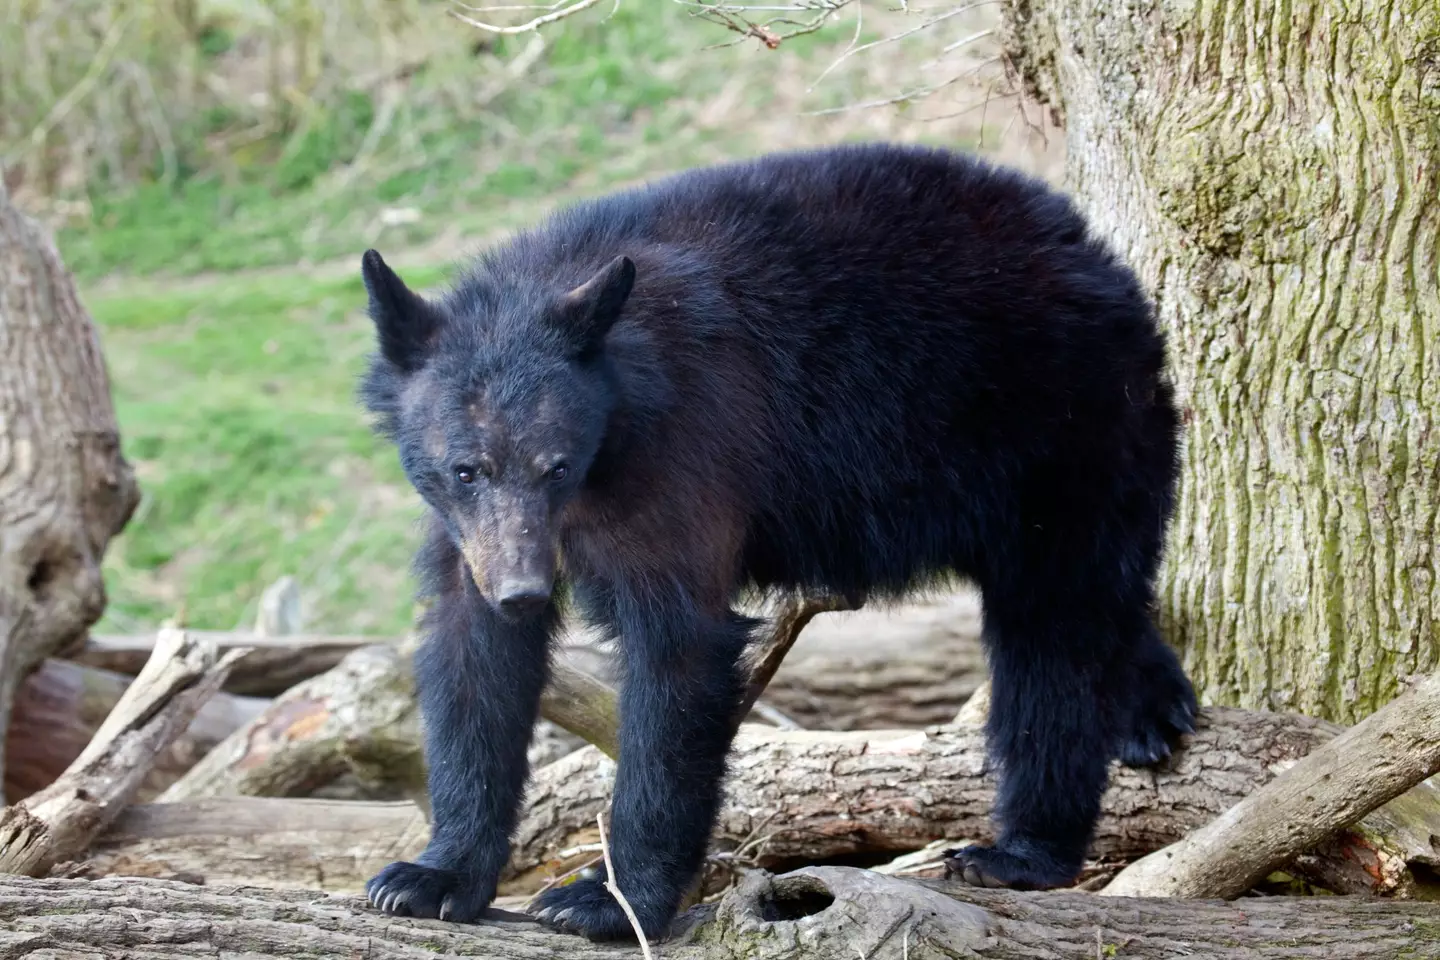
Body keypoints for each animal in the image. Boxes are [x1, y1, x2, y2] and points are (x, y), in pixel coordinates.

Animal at [357, 141, 1192, 938]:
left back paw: (1021, 850)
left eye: (555, 464)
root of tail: (1103, 259)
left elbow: (678, 652)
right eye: (465, 469)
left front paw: (607, 900)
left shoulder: (683, 455)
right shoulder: (466, 534)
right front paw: (431, 876)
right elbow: (472, 659)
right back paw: (1152, 713)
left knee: (1055, 628)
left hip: (1064, 430)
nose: (524, 592)